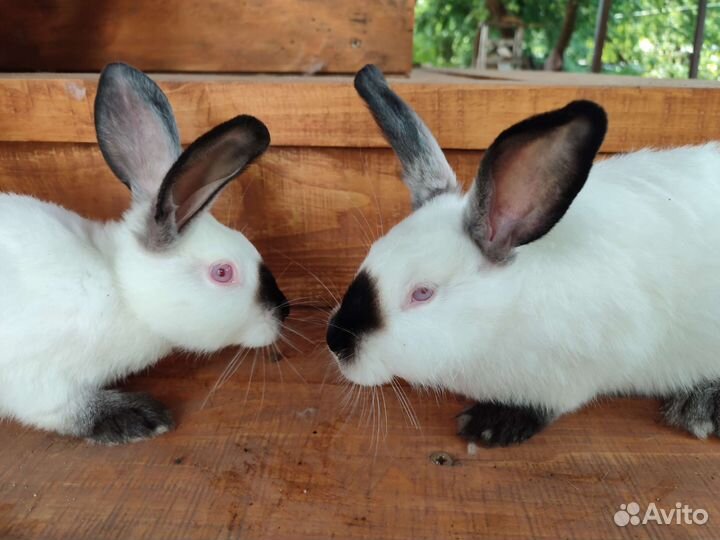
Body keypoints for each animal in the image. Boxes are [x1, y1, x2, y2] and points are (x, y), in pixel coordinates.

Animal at [0, 63, 290, 445]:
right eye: (223, 272)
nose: (283, 312)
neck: (120, 287)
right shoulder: (40, 380)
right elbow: (64, 410)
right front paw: (141, 418)